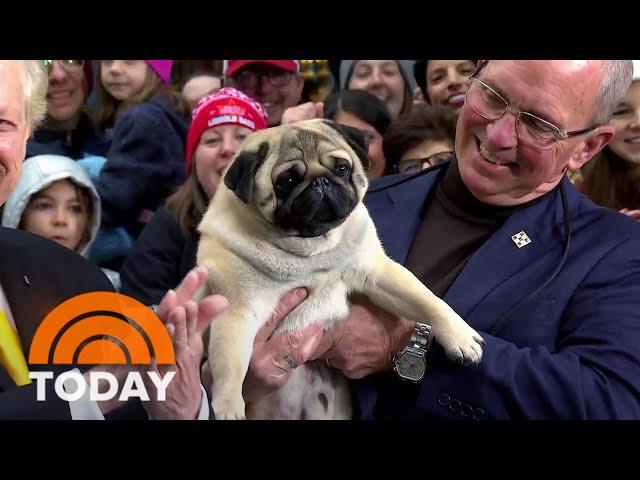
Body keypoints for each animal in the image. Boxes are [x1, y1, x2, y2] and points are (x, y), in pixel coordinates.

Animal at [198, 118, 482, 418]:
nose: (320, 182)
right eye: (287, 181)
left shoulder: (378, 272)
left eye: (342, 168)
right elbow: (229, 366)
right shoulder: (237, 312)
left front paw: (459, 336)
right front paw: (228, 406)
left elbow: (427, 300)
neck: (311, 252)